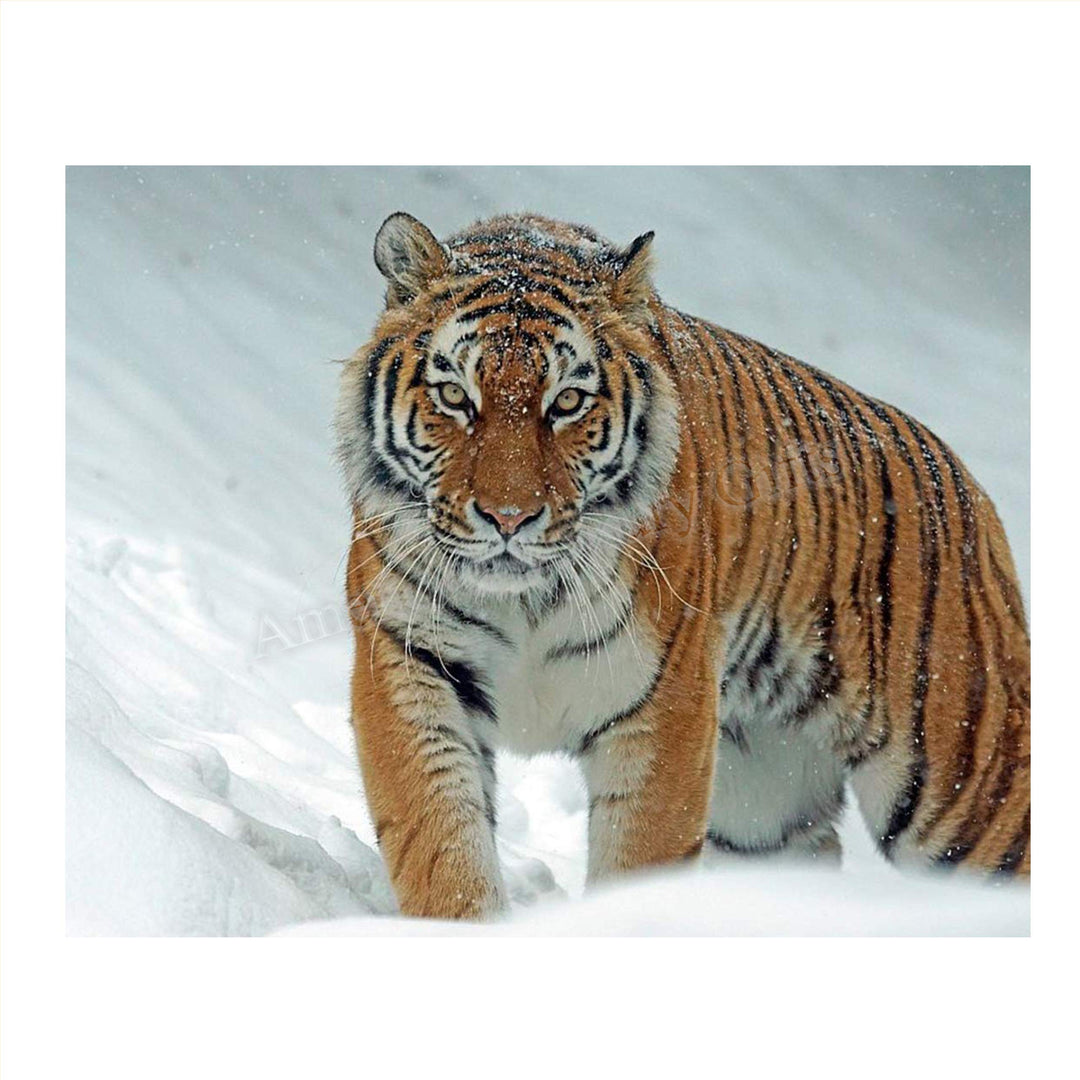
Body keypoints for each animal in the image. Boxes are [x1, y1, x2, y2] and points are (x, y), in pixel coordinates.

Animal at [335, 210, 1030, 920]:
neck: (524, 600)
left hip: (966, 785)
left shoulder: (662, 706)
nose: (508, 518)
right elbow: (442, 843)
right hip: (762, 806)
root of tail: (970, 488)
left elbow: (639, 858)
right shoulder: (410, 666)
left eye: (566, 403)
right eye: (454, 395)